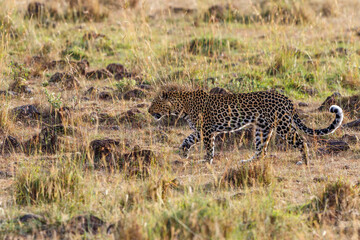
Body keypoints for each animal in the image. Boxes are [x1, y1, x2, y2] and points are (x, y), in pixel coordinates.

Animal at [148, 89, 344, 166]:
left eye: (154, 103)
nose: (149, 111)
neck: (181, 106)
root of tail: (287, 99)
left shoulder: (207, 130)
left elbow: (209, 147)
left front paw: (206, 161)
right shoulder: (200, 131)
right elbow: (186, 140)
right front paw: (184, 153)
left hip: (283, 125)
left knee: (301, 141)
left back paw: (304, 162)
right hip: (262, 129)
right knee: (261, 150)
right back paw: (248, 162)